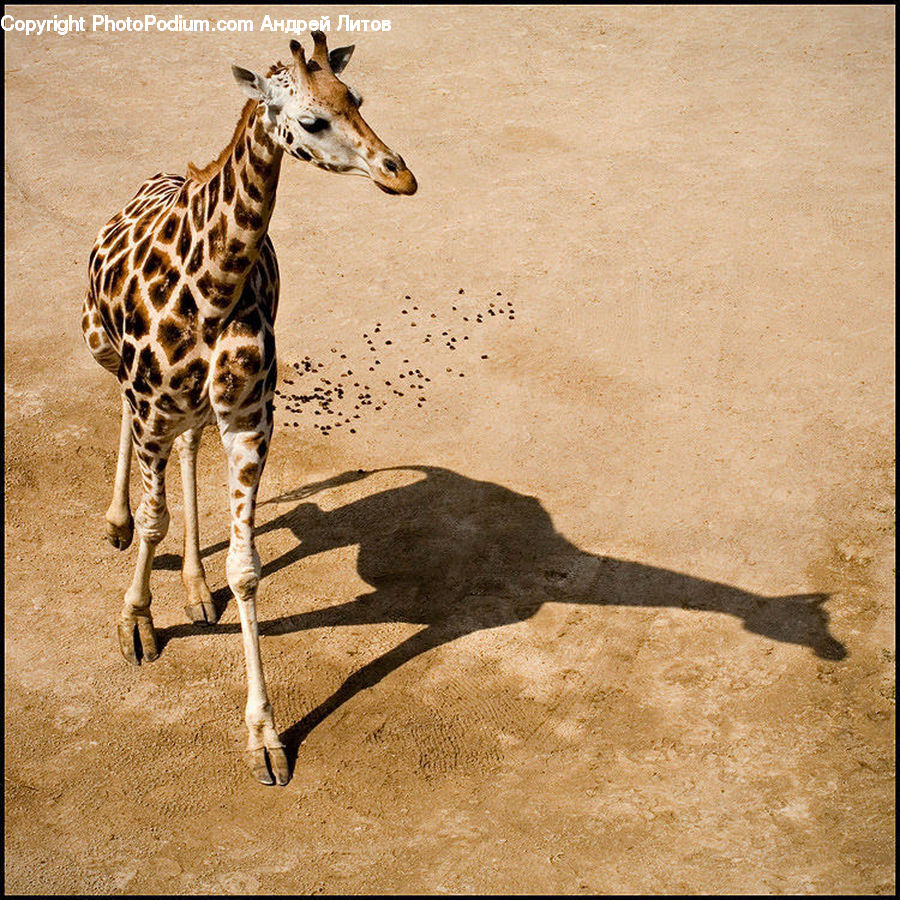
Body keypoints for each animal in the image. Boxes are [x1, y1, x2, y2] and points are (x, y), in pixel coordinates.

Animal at [81, 32, 417, 786]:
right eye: (312, 120)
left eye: (357, 98)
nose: (401, 175)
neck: (212, 287)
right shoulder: (152, 405)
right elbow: (154, 522)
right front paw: (135, 623)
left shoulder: (248, 420)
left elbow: (247, 569)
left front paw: (264, 737)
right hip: (104, 351)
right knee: (121, 415)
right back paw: (116, 524)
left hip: (195, 411)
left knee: (188, 448)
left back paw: (196, 588)